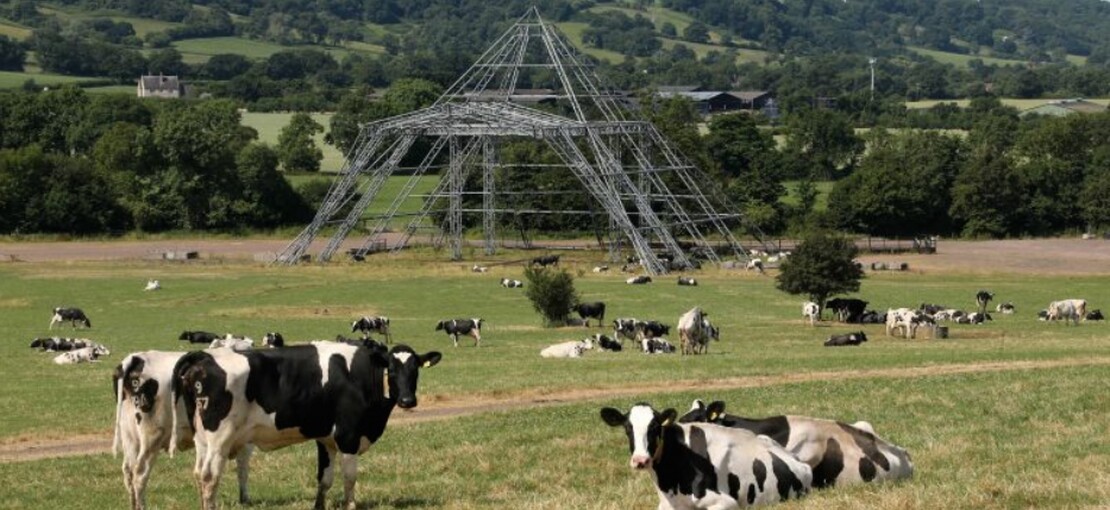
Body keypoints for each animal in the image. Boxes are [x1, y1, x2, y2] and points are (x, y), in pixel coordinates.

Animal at [114, 351, 254, 510]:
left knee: (128, 471)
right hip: (151, 437)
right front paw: (245, 498)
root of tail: (136, 357)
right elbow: (243, 469)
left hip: (129, 436)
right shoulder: (245, 441)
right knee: (139, 472)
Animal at [170, 344, 439, 510]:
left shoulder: (326, 439)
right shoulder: (348, 435)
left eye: (415, 370)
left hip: (203, 439)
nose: (407, 401)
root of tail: (204, 357)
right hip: (219, 438)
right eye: (391, 370)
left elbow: (325, 479)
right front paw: (350, 505)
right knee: (209, 476)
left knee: (198, 473)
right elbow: (349, 477)